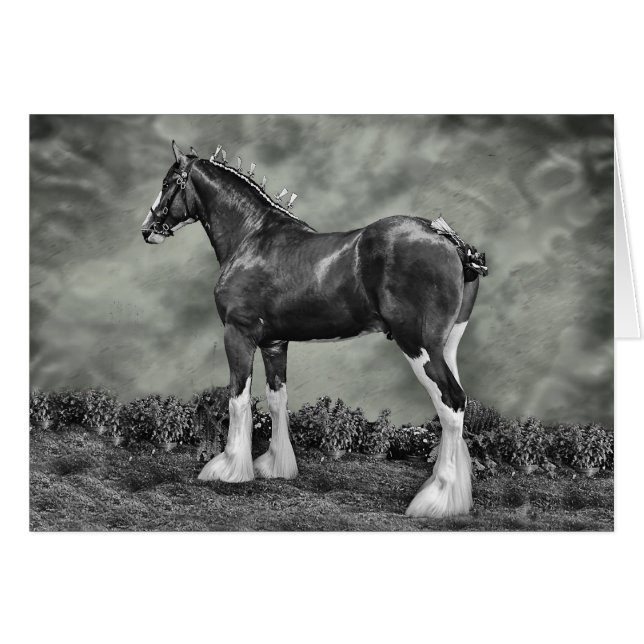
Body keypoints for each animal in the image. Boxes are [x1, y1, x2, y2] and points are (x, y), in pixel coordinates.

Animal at [140, 141, 488, 518]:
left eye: (168, 182)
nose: (147, 229)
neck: (252, 238)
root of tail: (450, 242)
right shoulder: (274, 343)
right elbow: (277, 399)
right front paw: (275, 466)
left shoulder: (238, 334)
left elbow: (238, 398)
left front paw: (229, 468)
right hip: (446, 347)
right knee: (457, 403)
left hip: (419, 346)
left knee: (451, 403)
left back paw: (436, 499)